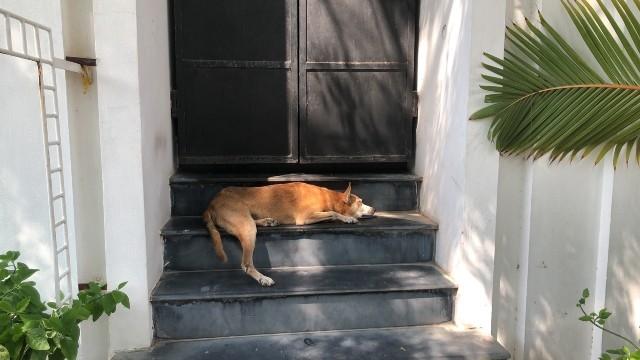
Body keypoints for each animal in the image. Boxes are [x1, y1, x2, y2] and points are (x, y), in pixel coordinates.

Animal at [202, 183, 376, 286]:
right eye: (360, 202)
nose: (374, 209)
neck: (328, 197)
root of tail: (211, 203)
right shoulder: (304, 217)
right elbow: (333, 213)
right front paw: (348, 218)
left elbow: (332, 213)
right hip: (246, 225)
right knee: (246, 264)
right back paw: (262, 278)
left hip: (247, 220)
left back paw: (268, 221)